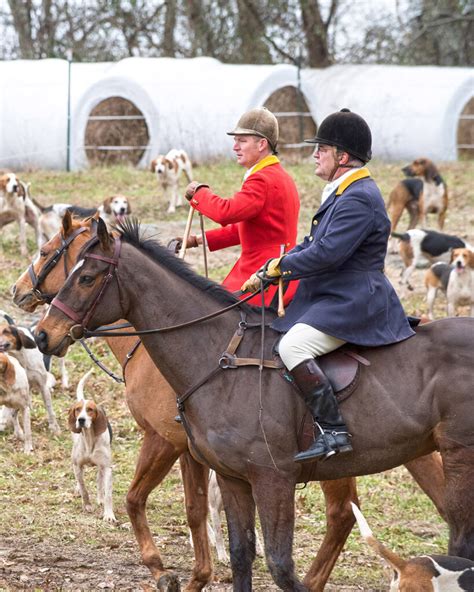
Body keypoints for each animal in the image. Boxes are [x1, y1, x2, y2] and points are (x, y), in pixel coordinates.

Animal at [15, 217, 462, 592]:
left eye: (82, 273)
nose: (42, 333)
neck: (212, 351)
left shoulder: (172, 442)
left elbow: (159, 503)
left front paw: (172, 573)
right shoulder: (210, 460)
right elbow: (205, 521)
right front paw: (188, 574)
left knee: (346, 515)